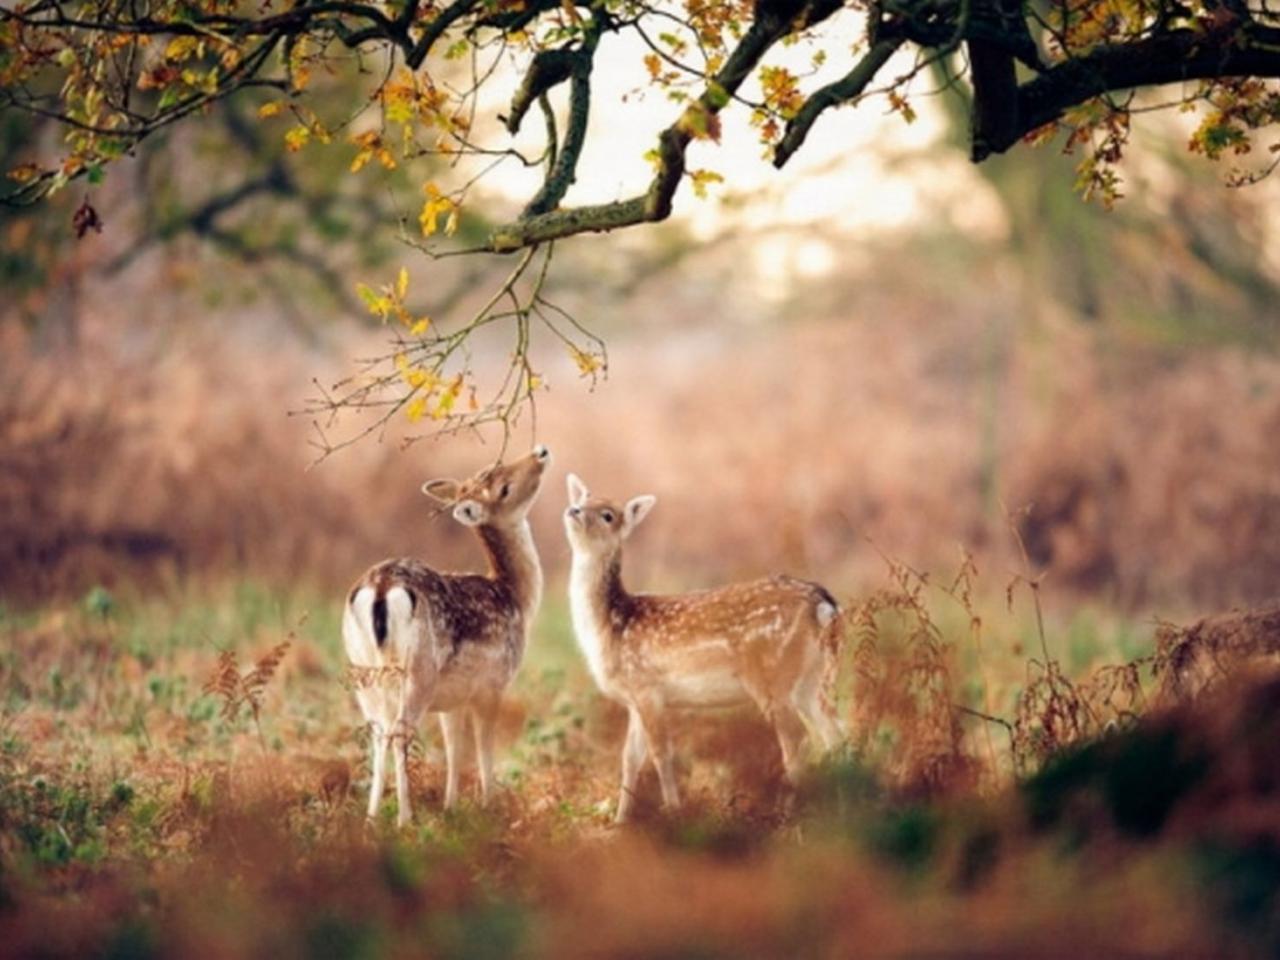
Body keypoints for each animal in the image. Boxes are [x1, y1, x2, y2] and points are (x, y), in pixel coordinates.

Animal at [343, 442, 552, 829]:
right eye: (503, 488)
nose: (540, 451)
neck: (515, 597)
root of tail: (380, 588)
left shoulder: (452, 699)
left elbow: (454, 748)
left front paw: (450, 808)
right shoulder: (492, 685)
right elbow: (483, 747)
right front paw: (488, 806)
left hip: (362, 671)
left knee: (378, 731)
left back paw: (371, 818)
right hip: (419, 669)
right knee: (399, 731)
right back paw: (405, 818)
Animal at [565, 478, 844, 824]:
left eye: (607, 515)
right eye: (582, 498)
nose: (573, 510)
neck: (611, 625)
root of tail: (825, 605)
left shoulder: (647, 688)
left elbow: (661, 754)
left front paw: (673, 812)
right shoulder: (633, 699)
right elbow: (629, 758)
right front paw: (620, 822)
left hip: (772, 674)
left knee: (798, 739)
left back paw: (786, 813)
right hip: (811, 679)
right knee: (834, 731)